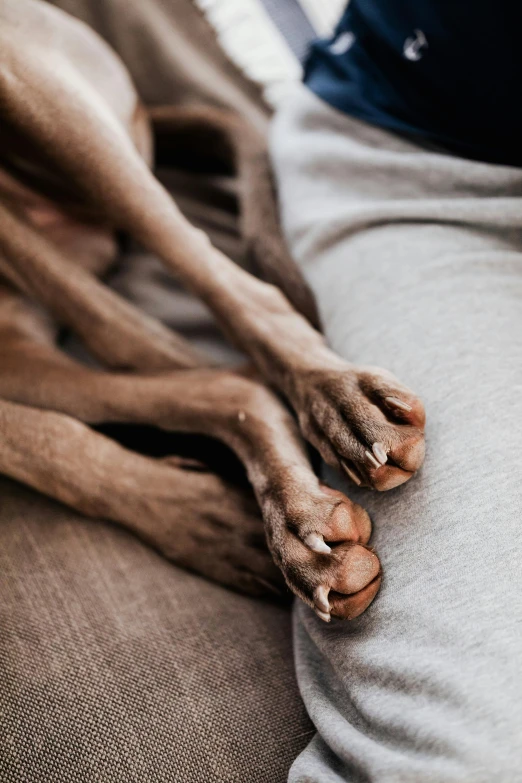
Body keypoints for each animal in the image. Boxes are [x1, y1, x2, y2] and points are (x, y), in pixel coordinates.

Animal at [0, 0, 424, 624]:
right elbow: (43, 443)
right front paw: (203, 519)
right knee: (189, 368)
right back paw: (270, 517)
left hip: (29, 82)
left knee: (219, 311)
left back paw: (335, 403)